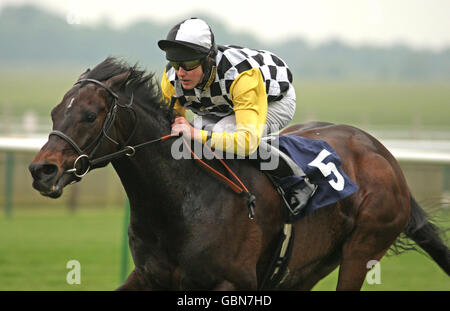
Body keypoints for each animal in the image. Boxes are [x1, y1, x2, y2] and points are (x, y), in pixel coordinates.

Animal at [29, 57, 448, 292]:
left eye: (89, 115)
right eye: (54, 112)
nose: (41, 170)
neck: (182, 203)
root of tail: (382, 154)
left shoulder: (231, 282)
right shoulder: (149, 277)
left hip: (363, 248)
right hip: (306, 268)